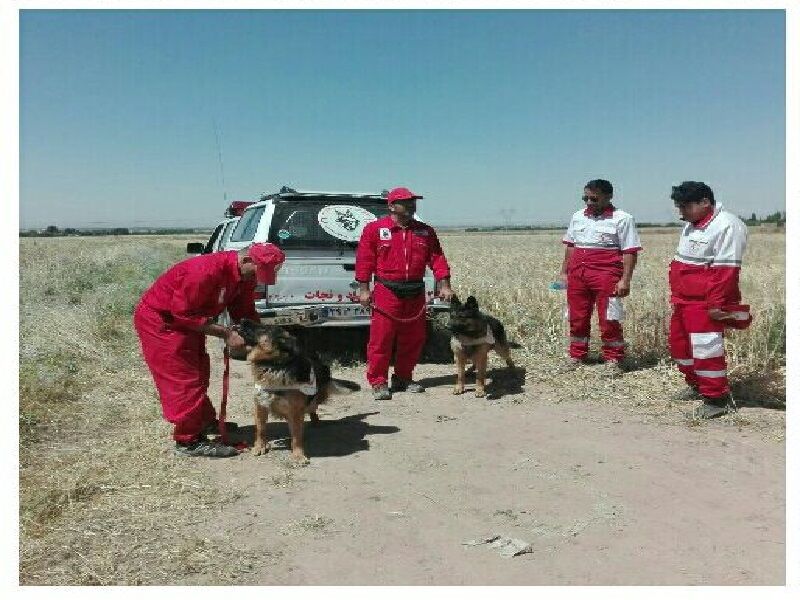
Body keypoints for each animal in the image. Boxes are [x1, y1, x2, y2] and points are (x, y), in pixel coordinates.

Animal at [234, 318, 360, 464]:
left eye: (263, 328)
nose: (242, 320)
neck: (273, 364)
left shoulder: (295, 411)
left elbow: (296, 436)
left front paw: (298, 455)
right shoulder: (260, 405)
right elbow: (260, 429)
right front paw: (260, 446)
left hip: (315, 396)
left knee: (312, 407)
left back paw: (315, 421)